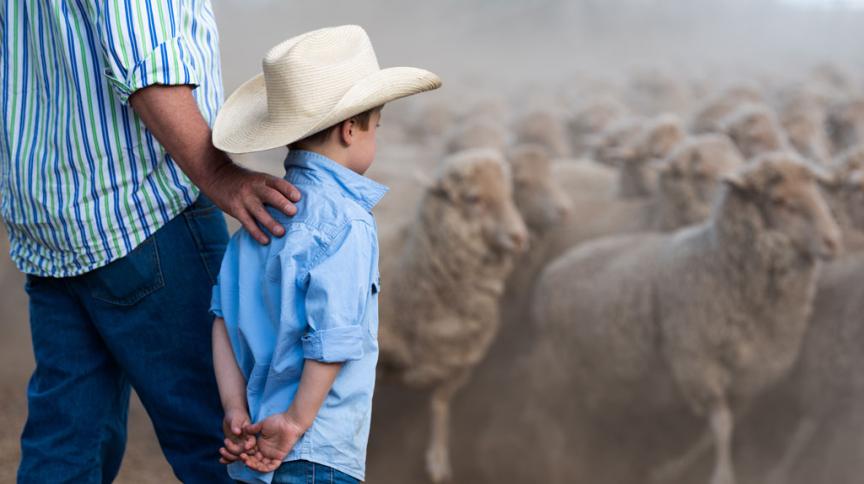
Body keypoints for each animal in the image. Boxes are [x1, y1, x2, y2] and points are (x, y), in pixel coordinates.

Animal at [376, 149, 528, 482]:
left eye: (509, 193)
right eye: (473, 198)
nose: (520, 236)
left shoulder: (462, 363)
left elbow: (440, 404)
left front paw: (438, 458)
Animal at [528, 151, 840, 484]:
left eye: (817, 191)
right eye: (780, 201)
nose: (834, 241)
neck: (719, 262)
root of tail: (555, 266)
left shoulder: (751, 373)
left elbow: (723, 426)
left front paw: (678, 466)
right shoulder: (698, 363)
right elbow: (722, 424)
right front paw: (722, 474)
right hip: (565, 371)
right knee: (559, 422)